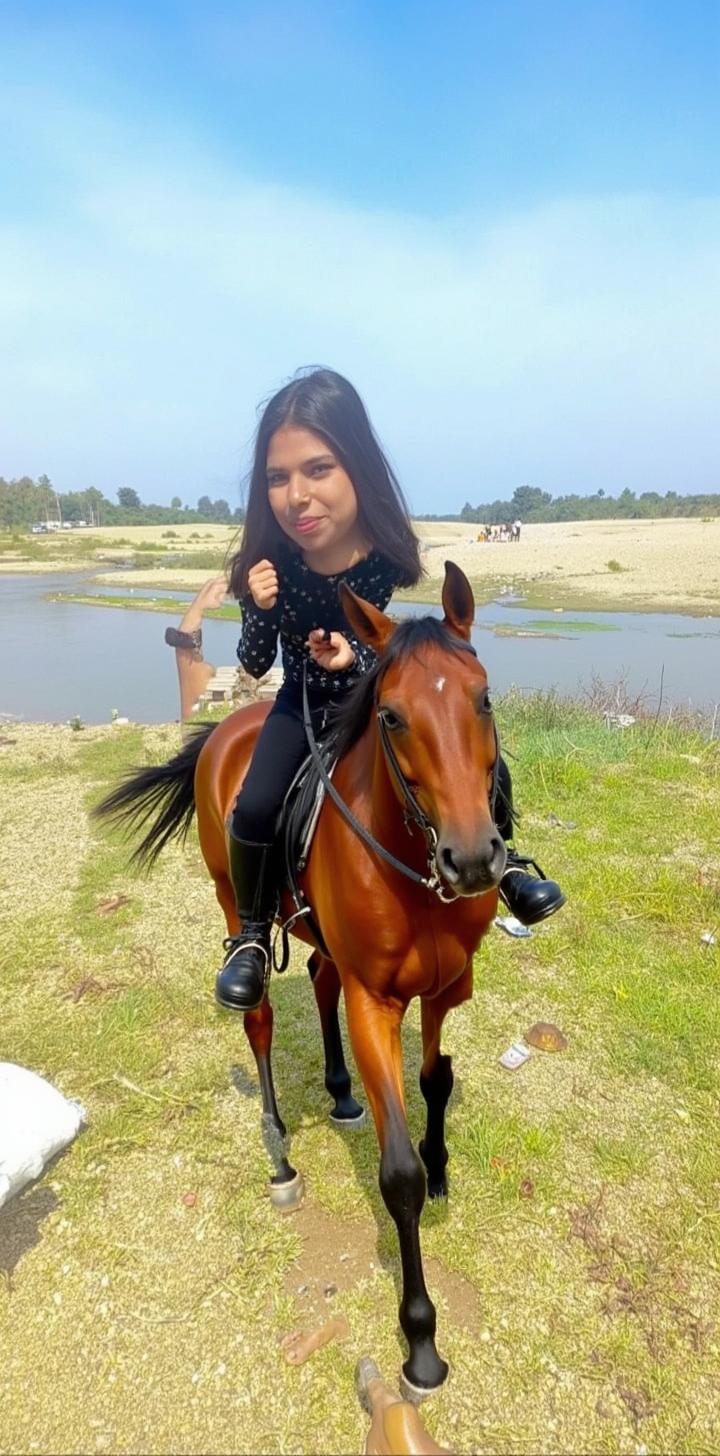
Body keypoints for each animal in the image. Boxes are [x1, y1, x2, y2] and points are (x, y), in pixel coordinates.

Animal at [97, 562, 506, 1391]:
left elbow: (437, 1078)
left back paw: (342, 1092)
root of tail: (228, 728)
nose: (474, 858)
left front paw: (442, 1164)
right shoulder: (376, 1003)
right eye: (391, 717)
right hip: (233, 899)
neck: (414, 867)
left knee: (318, 977)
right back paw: (281, 1154)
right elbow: (397, 1175)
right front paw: (420, 1344)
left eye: (483, 698)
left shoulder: (445, 988)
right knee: (257, 1013)